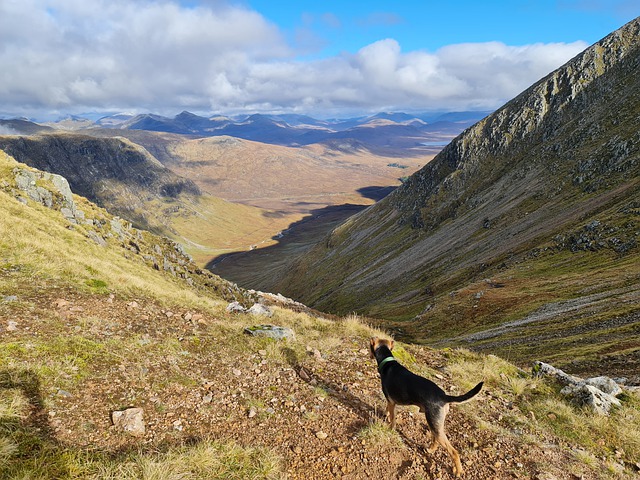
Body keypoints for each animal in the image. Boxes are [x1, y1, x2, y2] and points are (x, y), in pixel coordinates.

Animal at [368, 338, 482, 476]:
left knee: (453, 452)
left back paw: (458, 471)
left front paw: (389, 427)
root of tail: (444, 396)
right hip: (434, 422)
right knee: (436, 440)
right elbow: (387, 410)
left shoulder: (391, 402)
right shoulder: (390, 401)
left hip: (433, 422)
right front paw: (385, 414)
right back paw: (430, 450)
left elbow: (392, 419)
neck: (387, 362)